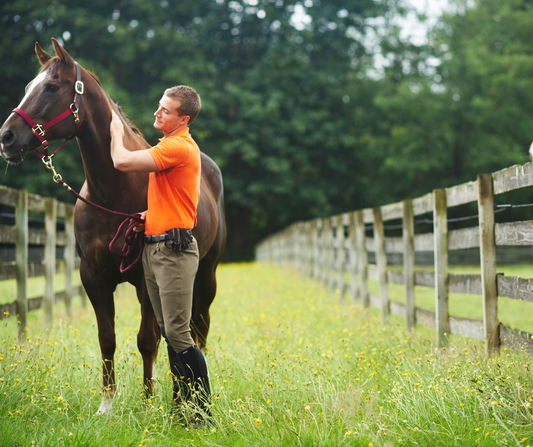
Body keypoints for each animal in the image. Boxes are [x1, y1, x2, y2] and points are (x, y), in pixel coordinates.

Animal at [0, 39, 224, 416]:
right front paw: (107, 404)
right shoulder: (94, 277)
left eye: (51, 87)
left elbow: (146, 339)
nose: (6, 137)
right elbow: (108, 338)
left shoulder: (147, 278)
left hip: (206, 273)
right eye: (29, 86)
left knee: (198, 326)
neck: (113, 192)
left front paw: (146, 403)